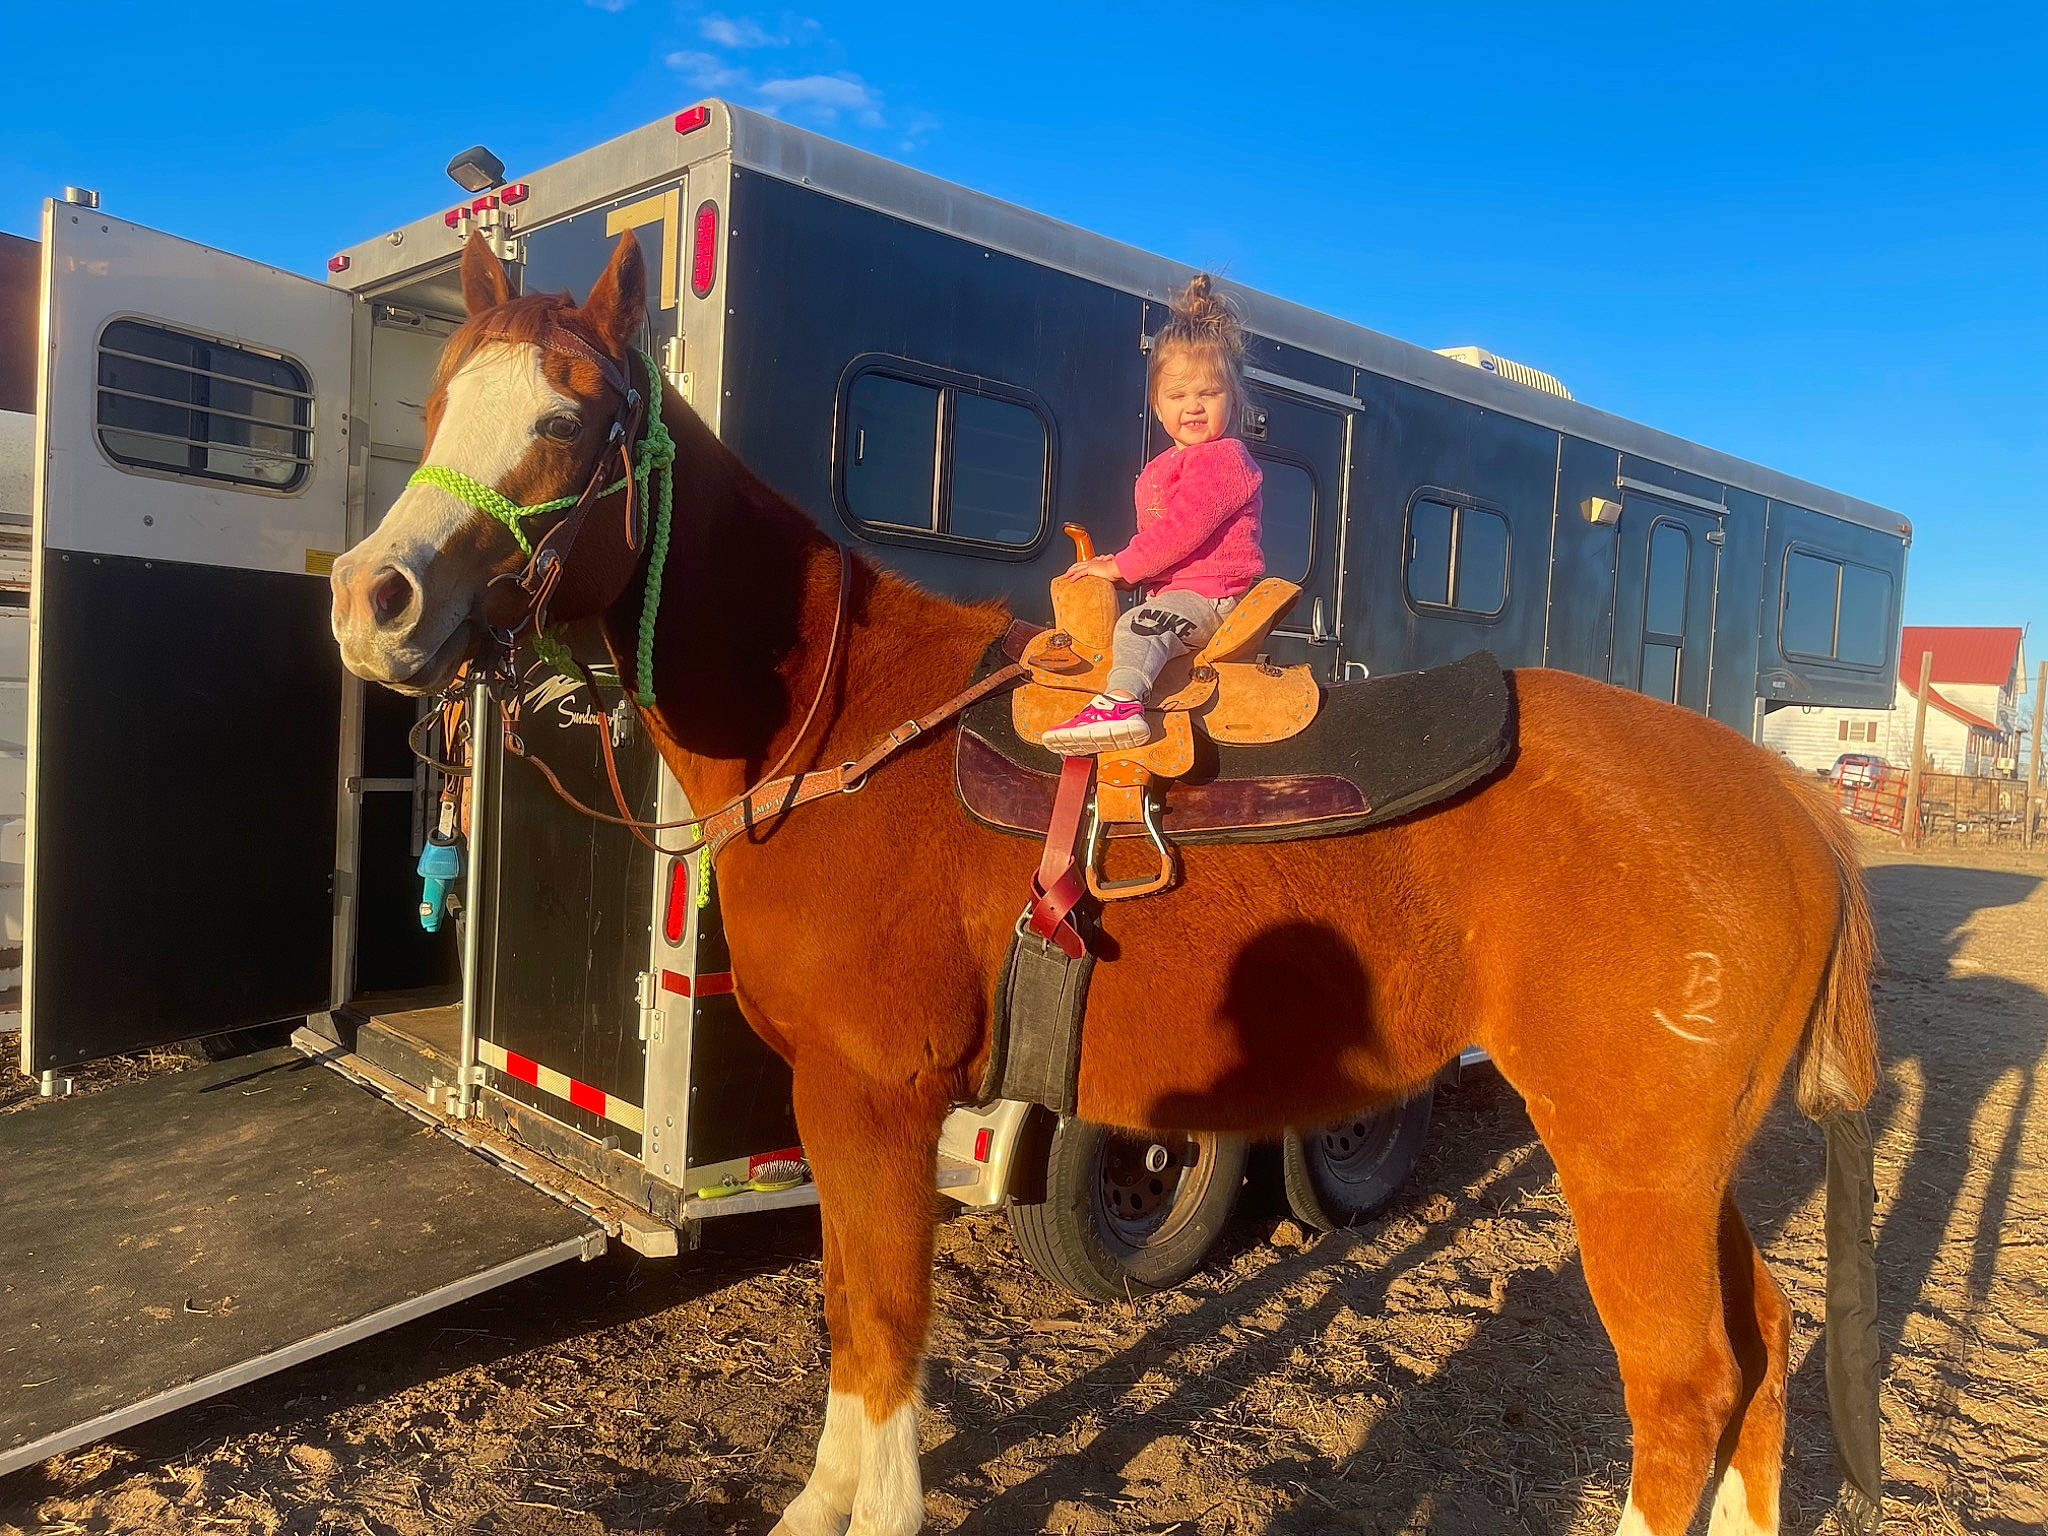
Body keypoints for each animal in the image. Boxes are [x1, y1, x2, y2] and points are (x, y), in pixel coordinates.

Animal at [329, 229, 1882, 1536]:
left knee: (1683, 1386)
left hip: (1629, 1165)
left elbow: (880, 1323)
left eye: (564, 419)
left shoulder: (875, 1096)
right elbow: (847, 1315)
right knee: (1760, 1348)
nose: (370, 601)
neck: (851, 726)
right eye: (437, 405)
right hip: (1684, 1167)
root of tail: (1796, 806)